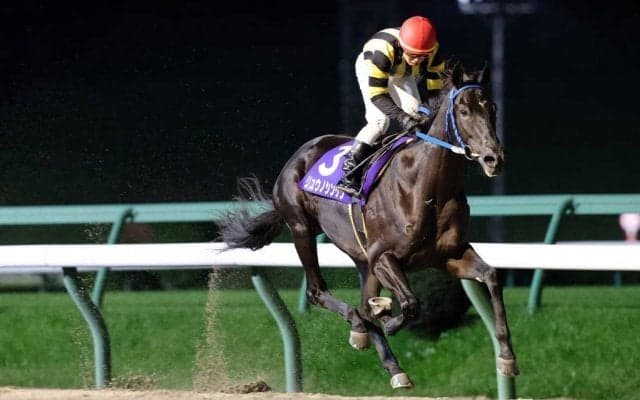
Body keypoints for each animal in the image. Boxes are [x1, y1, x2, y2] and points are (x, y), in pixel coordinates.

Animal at [218, 62, 518, 389]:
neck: (427, 188)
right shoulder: (384, 256)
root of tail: (300, 155)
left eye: (492, 108)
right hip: (301, 229)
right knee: (318, 292)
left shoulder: (449, 255)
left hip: (361, 256)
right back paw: (362, 324)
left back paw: (389, 360)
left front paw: (507, 358)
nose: (494, 158)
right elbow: (410, 304)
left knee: (361, 302)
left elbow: (491, 276)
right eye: (463, 110)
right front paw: (387, 317)